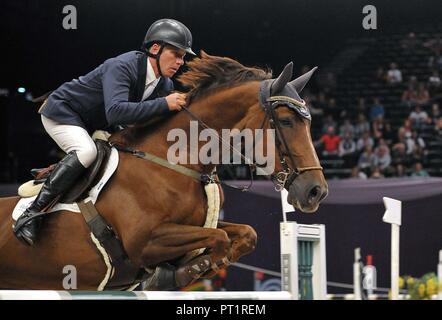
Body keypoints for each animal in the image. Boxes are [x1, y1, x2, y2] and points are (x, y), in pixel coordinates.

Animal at [0, 51, 328, 288]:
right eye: (285, 121)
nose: (316, 192)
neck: (176, 161)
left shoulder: (197, 224)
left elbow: (246, 233)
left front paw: (193, 268)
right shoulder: (146, 241)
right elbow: (219, 239)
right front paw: (183, 271)